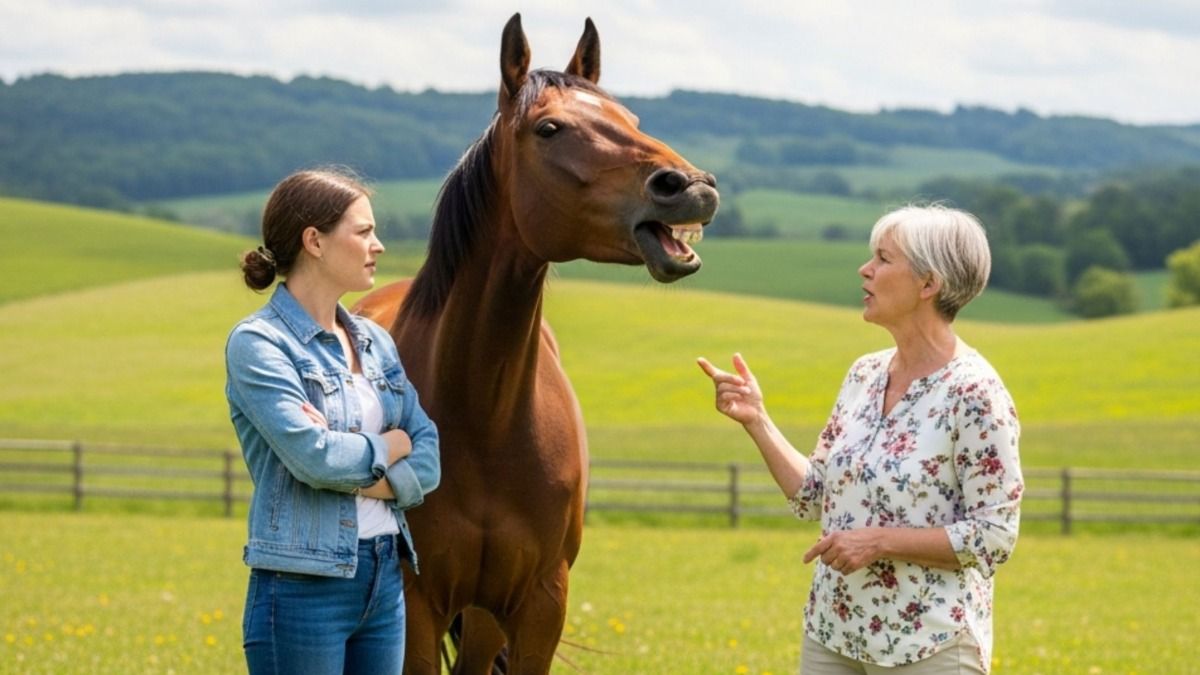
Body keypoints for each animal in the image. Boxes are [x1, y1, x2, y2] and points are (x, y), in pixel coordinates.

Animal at [353, 13, 719, 674]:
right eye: (549, 128)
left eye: (630, 118)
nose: (691, 186)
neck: (485, 416)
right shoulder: (415, 601)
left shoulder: (540, 603)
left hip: (482, 616)